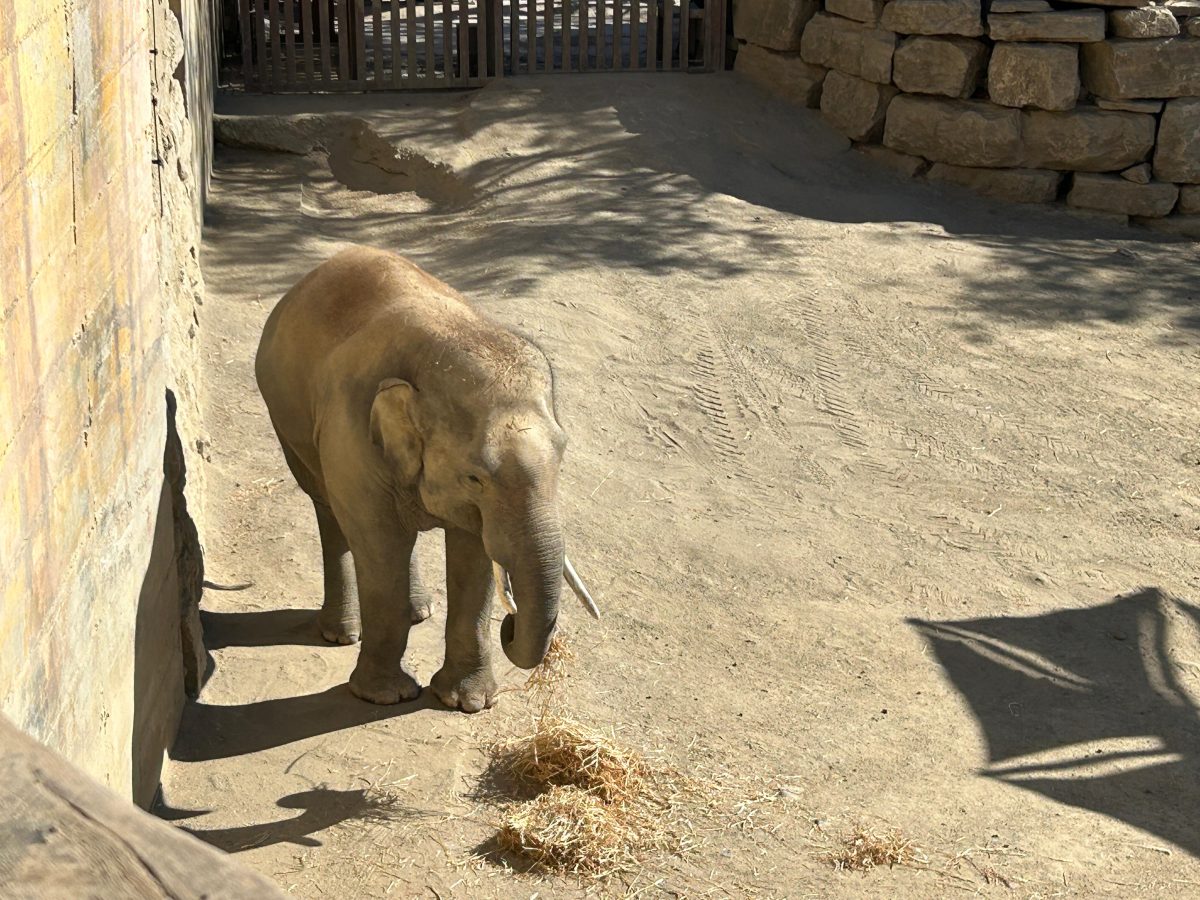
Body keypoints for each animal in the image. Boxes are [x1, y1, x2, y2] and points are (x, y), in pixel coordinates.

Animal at [254, 246, 597, 712]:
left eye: (562, 455)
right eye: (475, 477)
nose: (509, 626)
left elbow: (473, 559)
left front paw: (467, 702)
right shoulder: (351, 440)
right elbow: (381, 546)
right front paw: (387, 697)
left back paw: (420, 612)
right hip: (289, 424)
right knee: (329, 509)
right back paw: (343, 633)